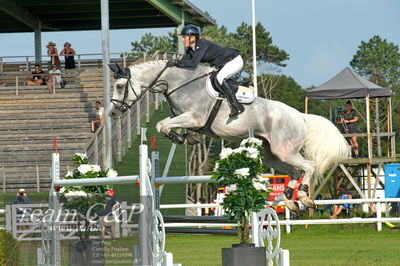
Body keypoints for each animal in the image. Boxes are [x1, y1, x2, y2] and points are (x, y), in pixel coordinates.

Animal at [108, 60, 348, 212]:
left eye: (119, 86)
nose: (111, 113)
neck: (179, 84)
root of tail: (301, 116)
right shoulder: (187, 119)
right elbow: (164, 124)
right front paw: (187, 138)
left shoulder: (194, 118)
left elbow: (161, 124)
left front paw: (179, 138)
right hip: (272, 154)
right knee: (294, 171)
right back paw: (289, 200)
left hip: (285, 150)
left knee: (308, 166)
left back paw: (304, 197)